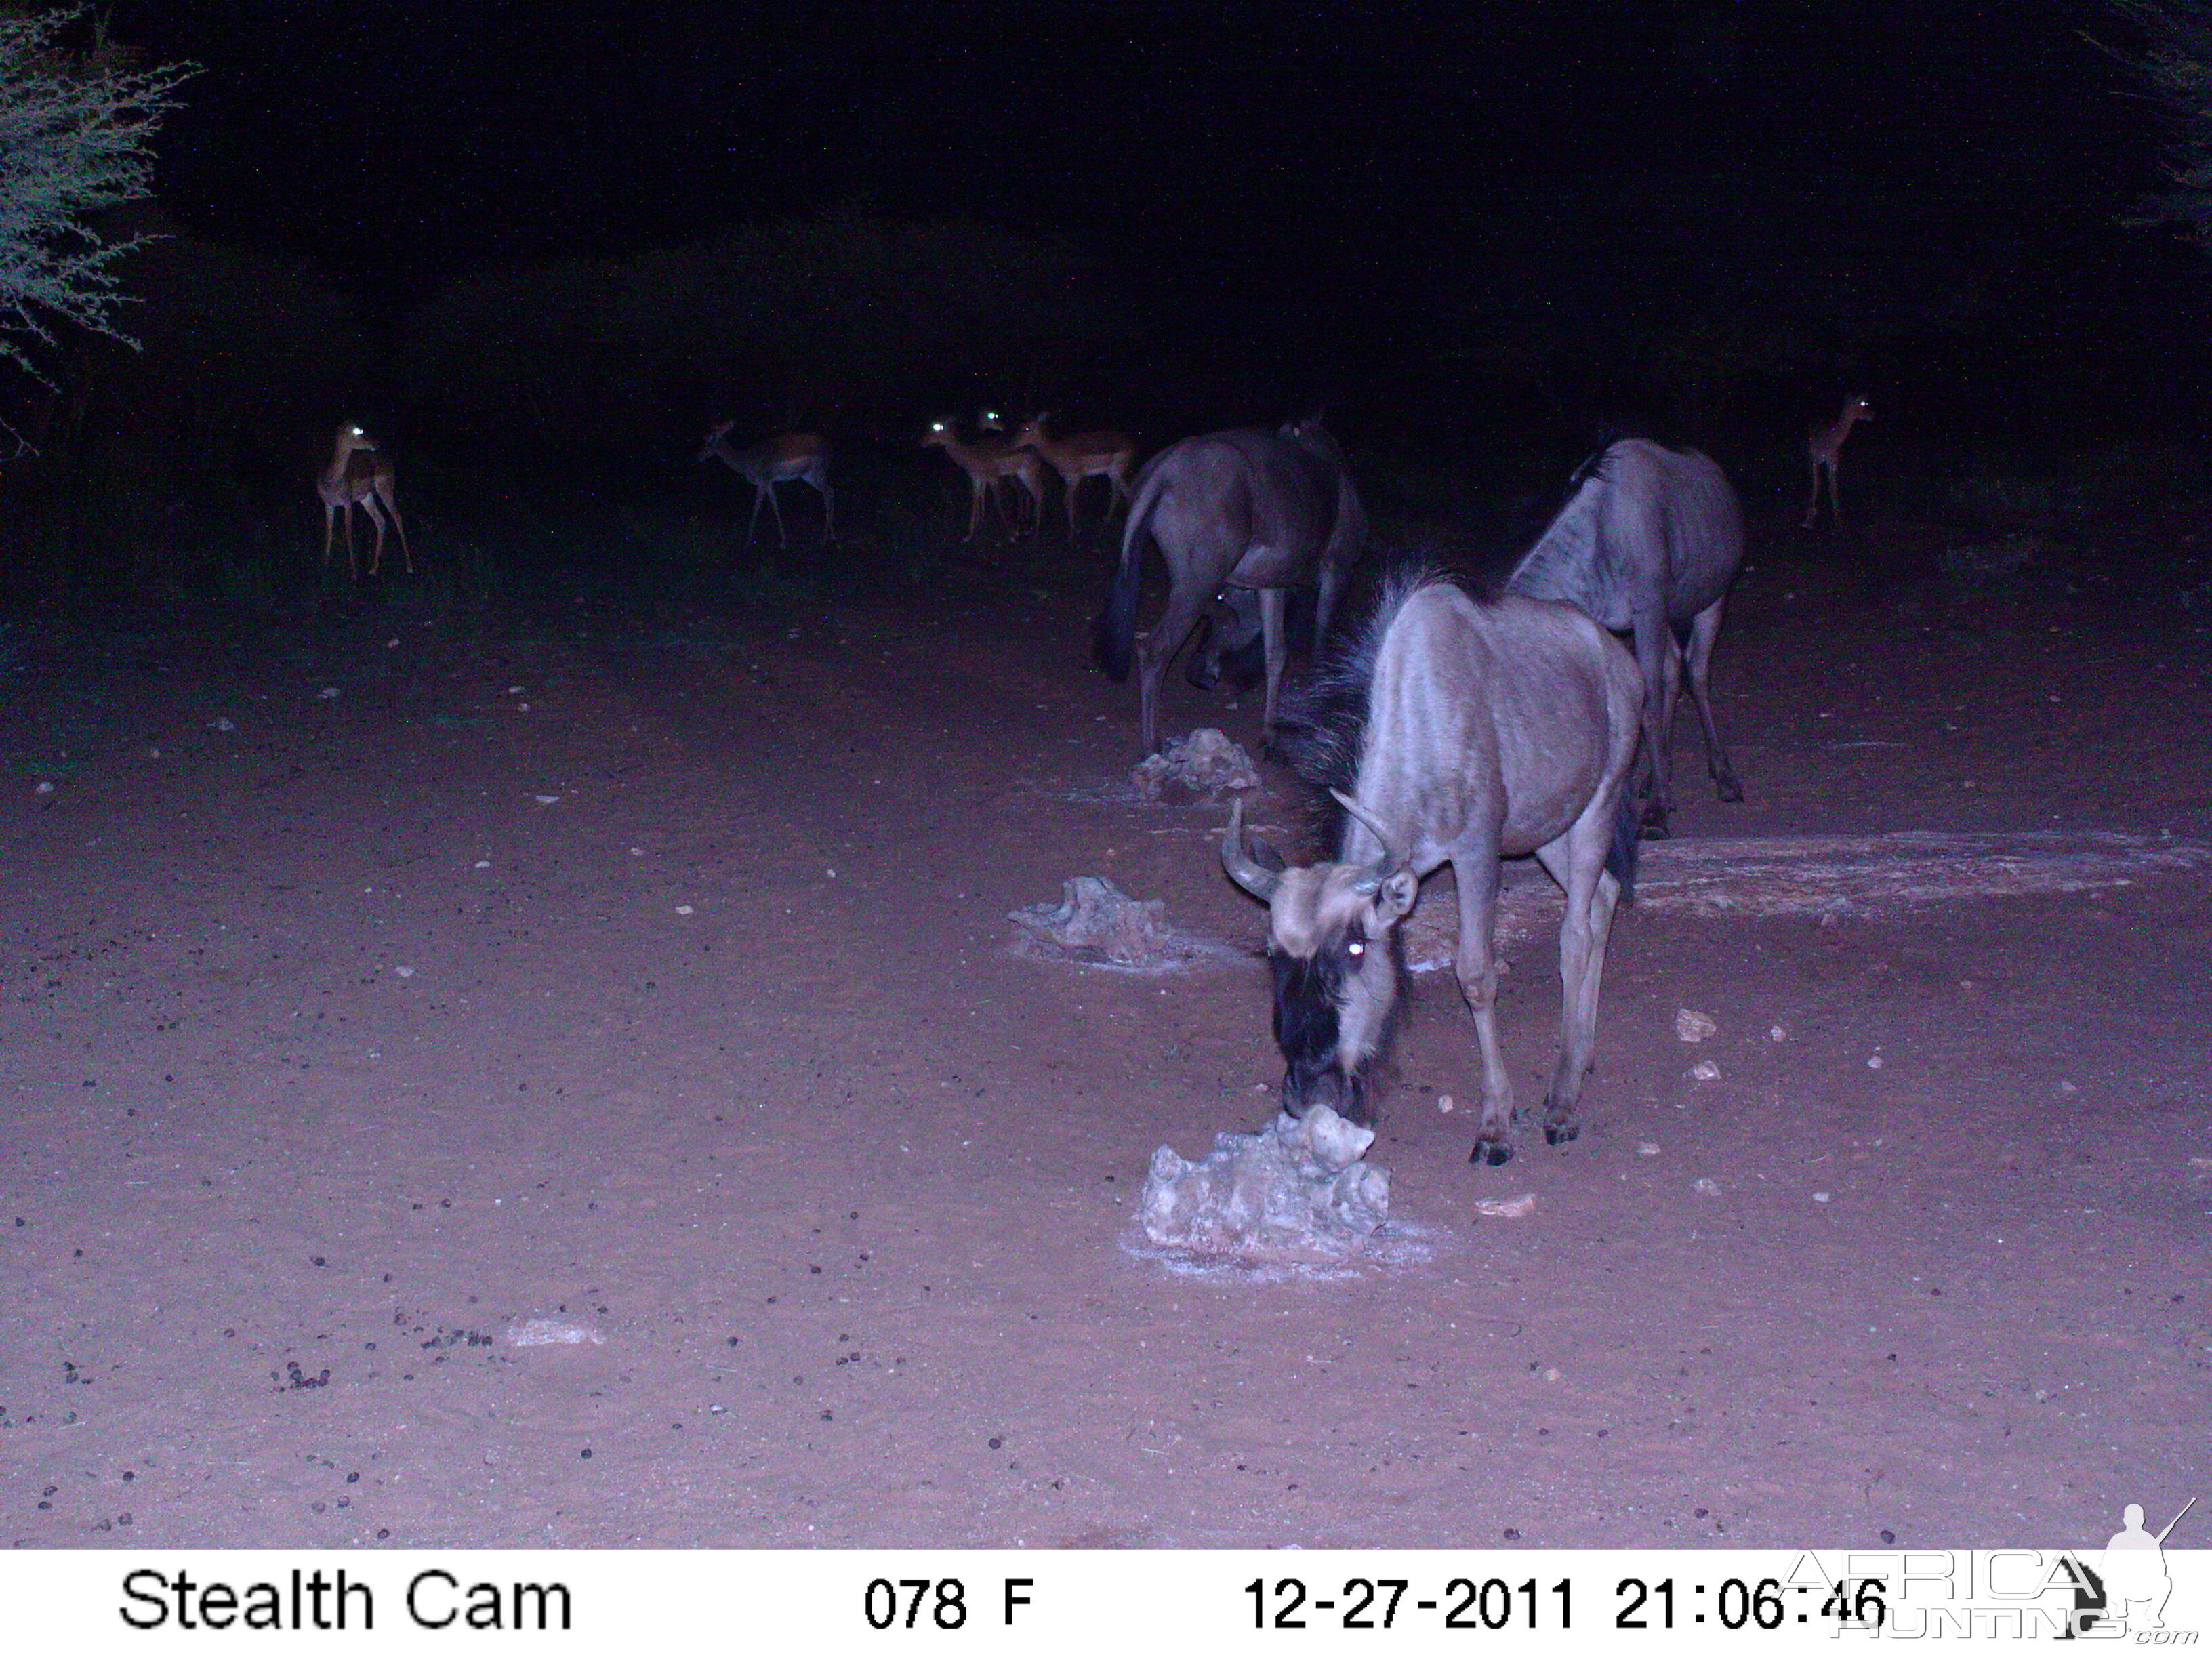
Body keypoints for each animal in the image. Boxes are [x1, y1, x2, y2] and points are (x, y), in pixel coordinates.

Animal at [316, 424, 411, 579]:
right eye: (358, 431)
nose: (375, 443)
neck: (331, 480)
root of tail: (390, 462)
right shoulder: (328, 504)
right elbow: (328, 532)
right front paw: (324, 566)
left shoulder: (347, 501)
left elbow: (348, 532)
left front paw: (354, 573)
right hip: (366, 498)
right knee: (381, 521)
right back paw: (373, 569)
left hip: (385, 488)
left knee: (397, 517)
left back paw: (409, 567)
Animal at [694, 424, 832, 548]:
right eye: (705, 438)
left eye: (712, 439)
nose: (699, 456)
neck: (746, 462)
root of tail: (827, 447)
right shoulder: (769, 482)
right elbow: (775, 505)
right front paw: (783, 541)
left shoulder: (763, 481)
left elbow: (756, 508)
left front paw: (747, 542)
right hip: (808, 476)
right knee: (830, 491)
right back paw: (831, 536)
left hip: (817, 472)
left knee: (828, 492)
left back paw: (825, 539)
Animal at [920, 417, 1048, 541]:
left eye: (936, 427)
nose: (923, 442)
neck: (970, 457)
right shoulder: (976, 478)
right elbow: (975, 501)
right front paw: (969, 535)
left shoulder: (993, 477)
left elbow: (998, 503)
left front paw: (1011, 535)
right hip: (1021, 474)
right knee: (1031, 493)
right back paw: (1027, 528)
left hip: (1027, 472)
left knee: (1038, 492)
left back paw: (1034, 531)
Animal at [1008, 413, 1132, 535]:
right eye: (1020, 426)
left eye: (1027, 428)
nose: (1013, 444)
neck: (1057, 452)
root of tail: (1132, 445)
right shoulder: (1067, 479)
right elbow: (1069, 501)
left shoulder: (1076, 477)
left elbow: (1067, 500)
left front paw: (1073, 530)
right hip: (1114, 473)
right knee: (1126, 492)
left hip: (1115, 472)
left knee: (1116, 495)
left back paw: (1106, 522)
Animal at [1796, 393, 1866, 529]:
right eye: (1862, 403)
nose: (1873, 414)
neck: (1829, 441)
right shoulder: (1815, 460)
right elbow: (1816, 485)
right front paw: (1808, 520)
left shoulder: (1833, 462)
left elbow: (1833, 487)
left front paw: (1839, 521)